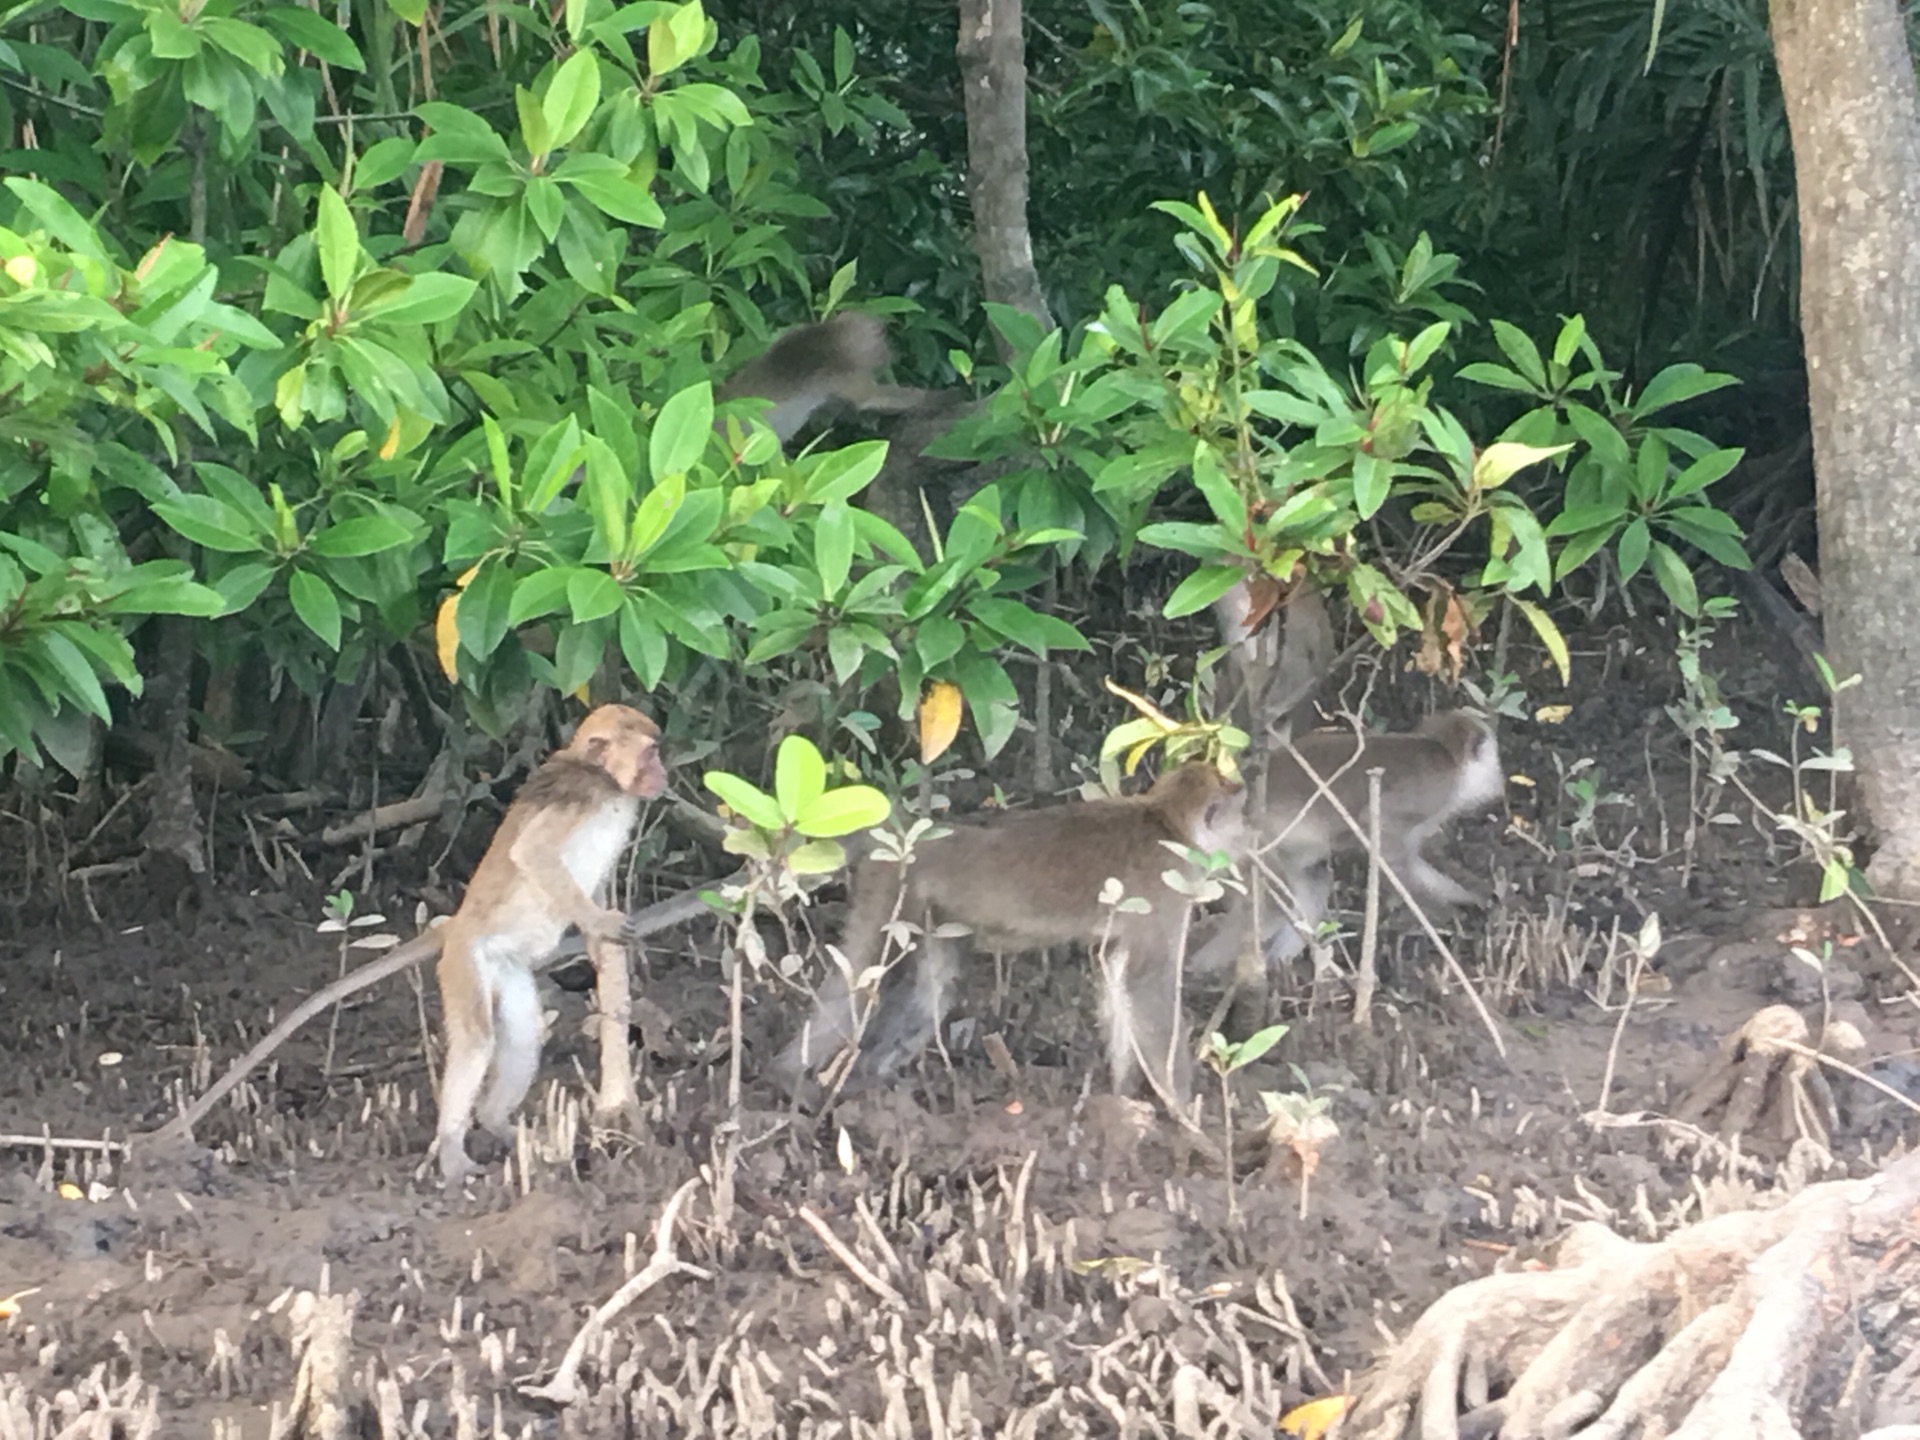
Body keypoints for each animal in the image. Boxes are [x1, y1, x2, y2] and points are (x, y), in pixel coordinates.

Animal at [437, 706, 672, 1190]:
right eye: (649, 753)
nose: (662, 770)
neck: (608, 784)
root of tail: (454, 929)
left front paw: (600, 940)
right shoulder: (579, 797)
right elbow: (532, 852)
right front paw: (600, 923)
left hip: (506, 969)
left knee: (524, 1035)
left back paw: (498, 1123)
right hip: (465, 961)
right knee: (476, 1041)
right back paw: (452, 1151)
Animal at [718, 314, 933, 445]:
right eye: (886, 342)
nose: (892, 352)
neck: (828, 337)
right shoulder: (845, 375)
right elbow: (871, 399)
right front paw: (923, 395)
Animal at [771, 760, 1251, 1113]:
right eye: (1238, 809)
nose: (1247, 838)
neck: (1167, 822)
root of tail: (907, 836)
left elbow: (1118, 979)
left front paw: (1124, 1095)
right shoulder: (1167, 889)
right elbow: (1148, 985)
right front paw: (1186, 1113)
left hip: (929, 912)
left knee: (928, 994)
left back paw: (865, 1083)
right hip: (891, 888)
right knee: (859, 977)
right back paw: (790, 1076)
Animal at [1190, 710, 1505, 990]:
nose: (1499, 777)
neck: (1445, 753)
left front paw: (1474, 899)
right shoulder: (1432, 793)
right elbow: (1383, 841)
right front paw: (1442, 914)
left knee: (1312, 876)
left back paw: (1279, 968)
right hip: (1241, 844)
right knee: (1270, 902)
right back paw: (1203, 969)